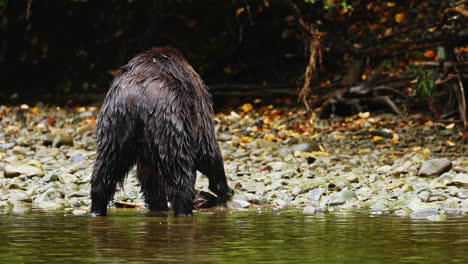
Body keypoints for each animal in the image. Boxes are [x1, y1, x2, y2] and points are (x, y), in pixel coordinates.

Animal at [89, 47, 232, 217]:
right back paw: (184, 210)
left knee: (105, 168)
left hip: (115, 124)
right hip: (170, 121)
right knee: (180, 172)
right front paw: (225, 190)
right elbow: (207, 150)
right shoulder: (199, 106)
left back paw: (97, 209)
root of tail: (136, 96)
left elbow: (149, 177)